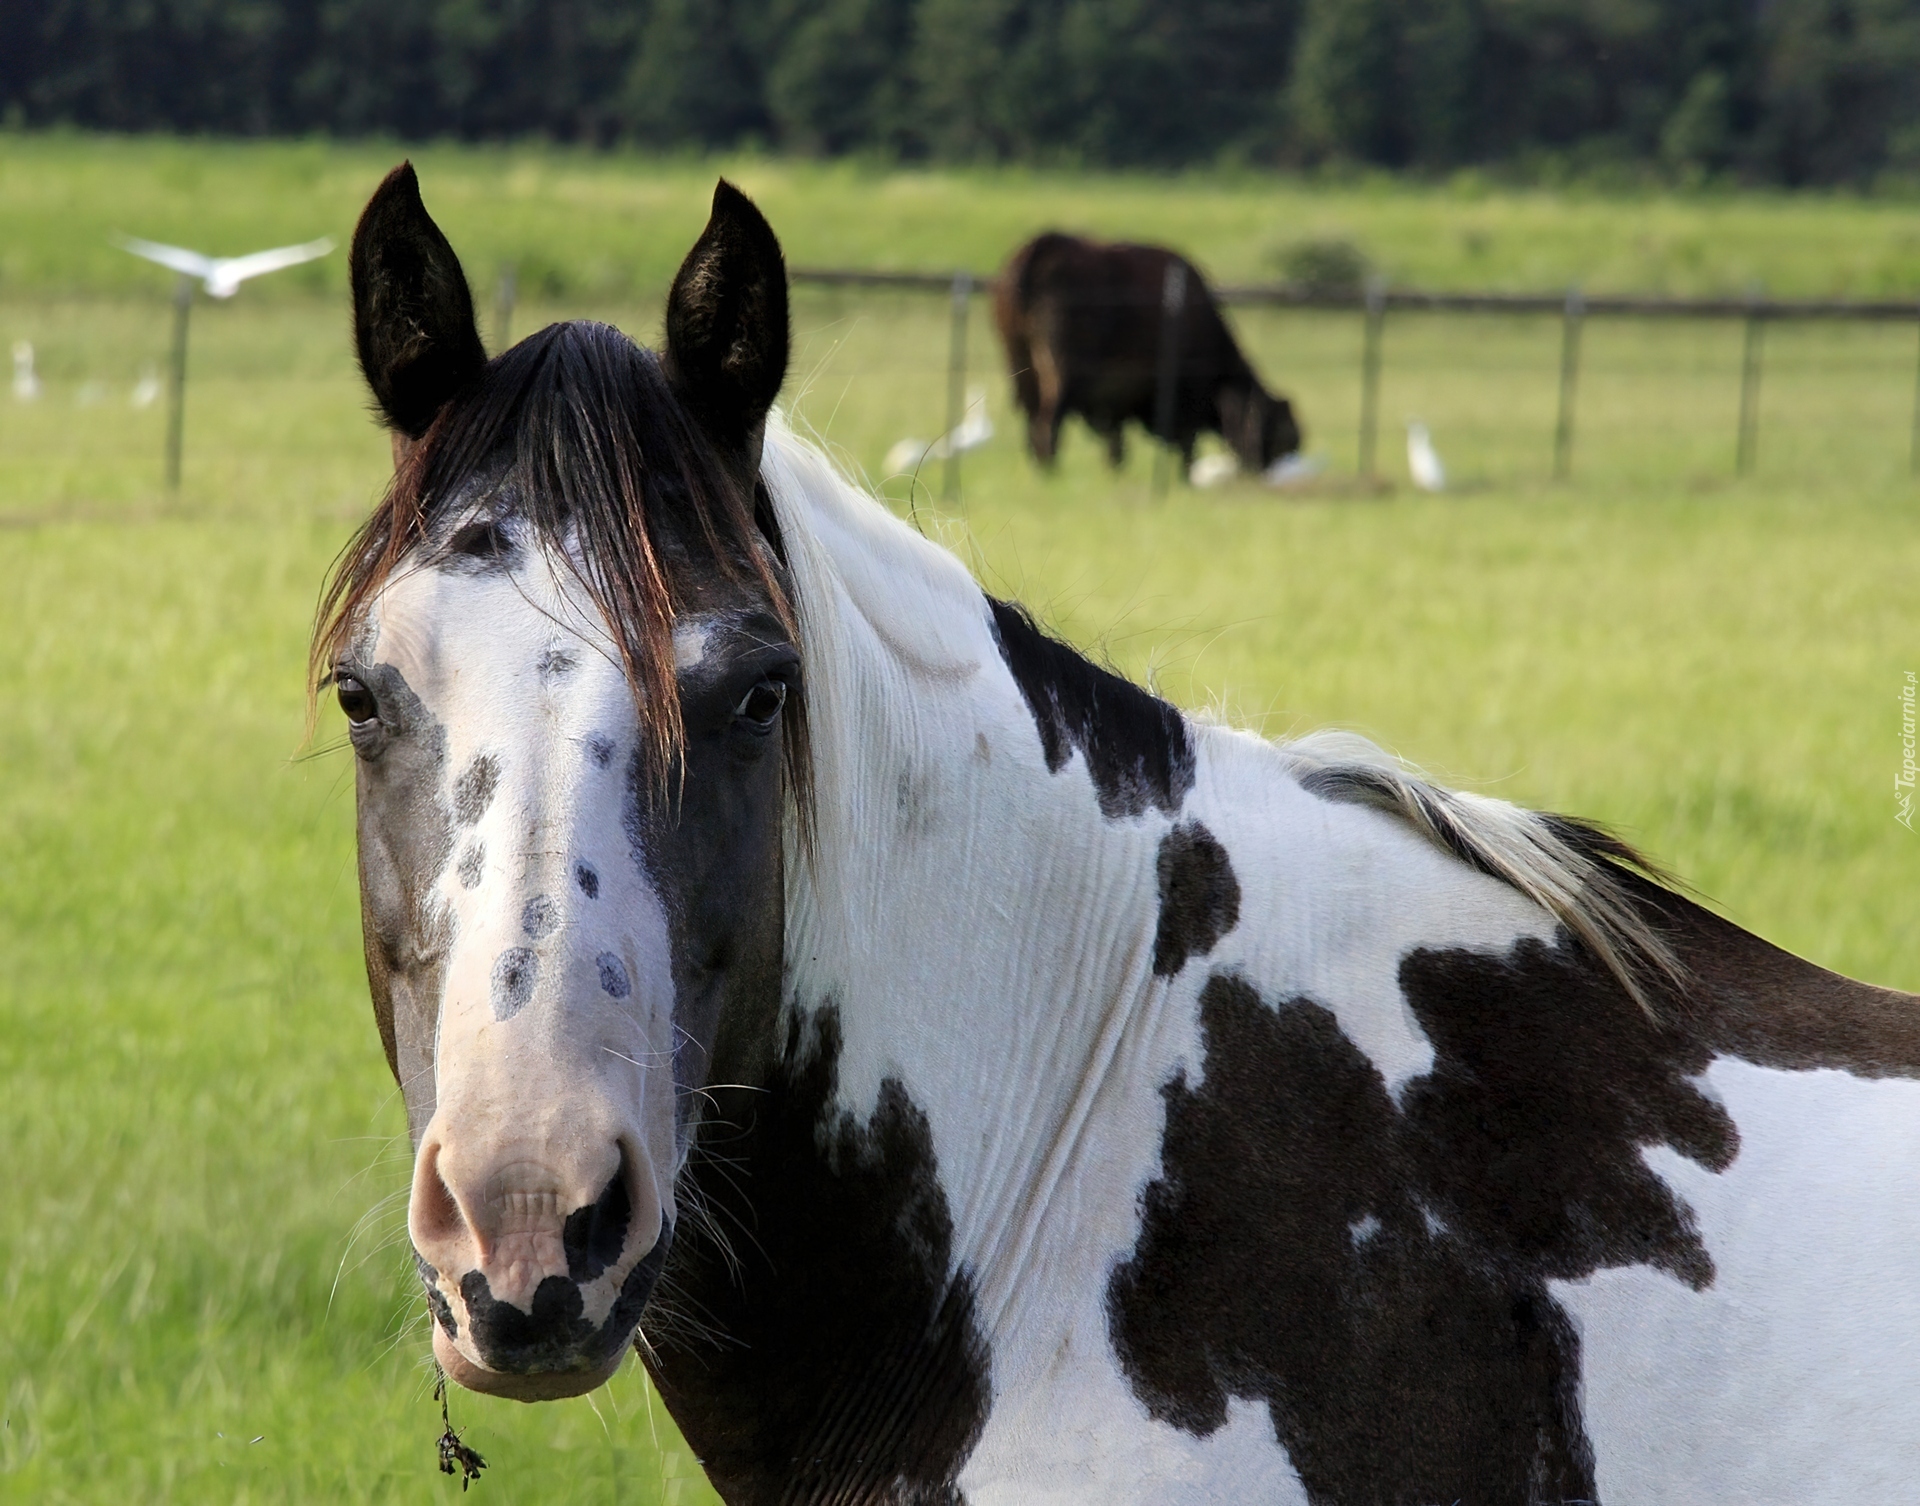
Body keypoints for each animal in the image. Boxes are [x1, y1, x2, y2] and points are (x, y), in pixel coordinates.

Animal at [990, 232, 1305, 470]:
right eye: (1280, 432)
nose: (1262, 470)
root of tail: (1042, 245)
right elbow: (1184, 443)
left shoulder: (1114, 405)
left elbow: (1117, 442)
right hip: (1061, 372)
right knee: (1049, 420)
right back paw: (1051, 472)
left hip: (1020, 362)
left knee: (1032, 417)